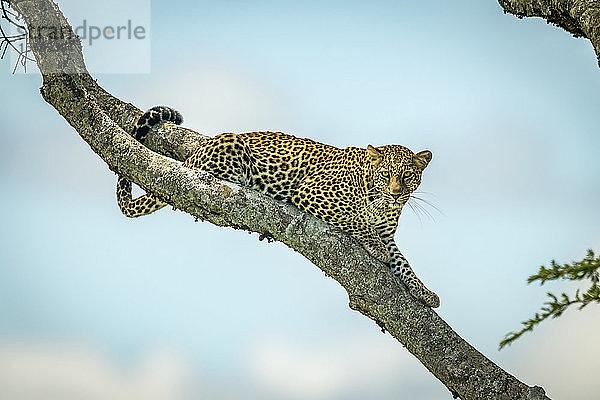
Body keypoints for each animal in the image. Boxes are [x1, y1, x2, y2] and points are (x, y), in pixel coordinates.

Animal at [117, 105, 438, 306]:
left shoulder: (388, 233)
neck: (382, 203)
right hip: (231, 149)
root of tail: (193, 154)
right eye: (386, 174)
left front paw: (425, 292)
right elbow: (354, 218)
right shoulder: (312, 192)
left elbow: (404, 263)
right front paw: (376, 248)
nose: (396, 194)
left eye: (406, 177)